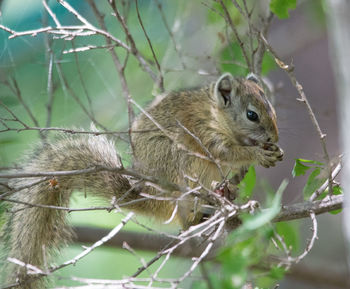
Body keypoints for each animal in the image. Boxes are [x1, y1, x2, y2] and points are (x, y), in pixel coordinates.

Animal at [0, 72, 284, 286]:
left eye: (273, 109)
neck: (215, 114)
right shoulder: (205, 134)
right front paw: (258, 153)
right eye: (251, 115)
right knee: (185, 217)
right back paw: (201, 209)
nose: (274, 137)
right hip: (181, 163)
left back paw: (224, 195)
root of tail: (152, 194)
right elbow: (228, 152)